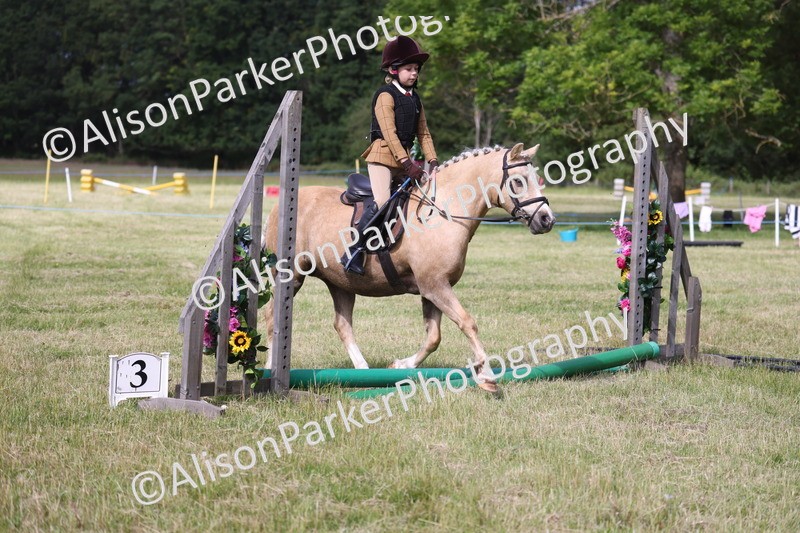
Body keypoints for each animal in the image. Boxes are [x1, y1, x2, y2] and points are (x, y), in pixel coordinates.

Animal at [262, 142, 555, 392]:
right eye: (518, 181)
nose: (547, 220)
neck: (442, 213)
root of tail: (280, 206)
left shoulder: (433, 288)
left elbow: (433, 337)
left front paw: (401, 365)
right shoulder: (435, 285)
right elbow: (467, 323)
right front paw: (487, 377)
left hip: (340, 282)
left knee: (342, 325)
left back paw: (363, 372)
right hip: (291, 276)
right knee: (272, 315)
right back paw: (269, 370)